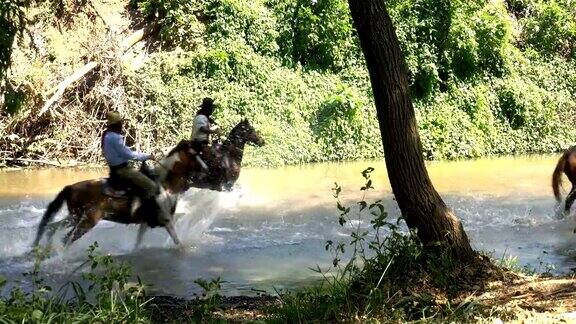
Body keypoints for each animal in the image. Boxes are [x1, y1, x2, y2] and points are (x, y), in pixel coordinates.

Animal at [32, 139, 202, 248]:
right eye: (195, 155)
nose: (206, 168)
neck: (165, 185)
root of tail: (70, 187)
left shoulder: (145, 223)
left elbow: (138, 243)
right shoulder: (166, 220)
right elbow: (177, 242)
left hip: (75, 217)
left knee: (52, 227)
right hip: (87, 221)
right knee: (65, 239)